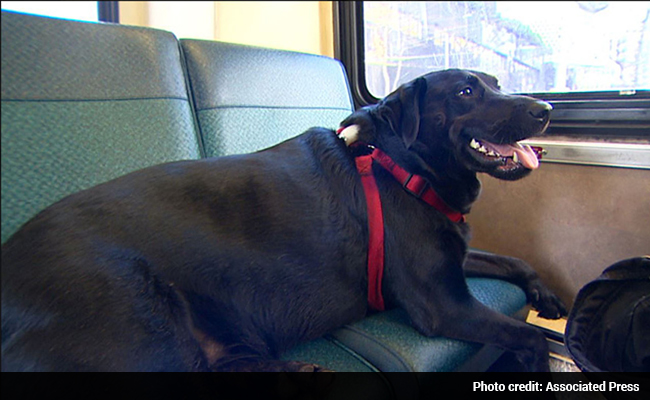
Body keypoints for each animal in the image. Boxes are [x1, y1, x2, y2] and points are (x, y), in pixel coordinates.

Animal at [1, 69, 560, 372]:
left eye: (496, 83)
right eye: (466, 92)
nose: (545, 108)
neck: (400, 164)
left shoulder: (452, 260)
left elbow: (513, 261)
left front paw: (546, 296)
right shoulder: (441, 304)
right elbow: (530, 336)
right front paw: (535, 362)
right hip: (144, 324)